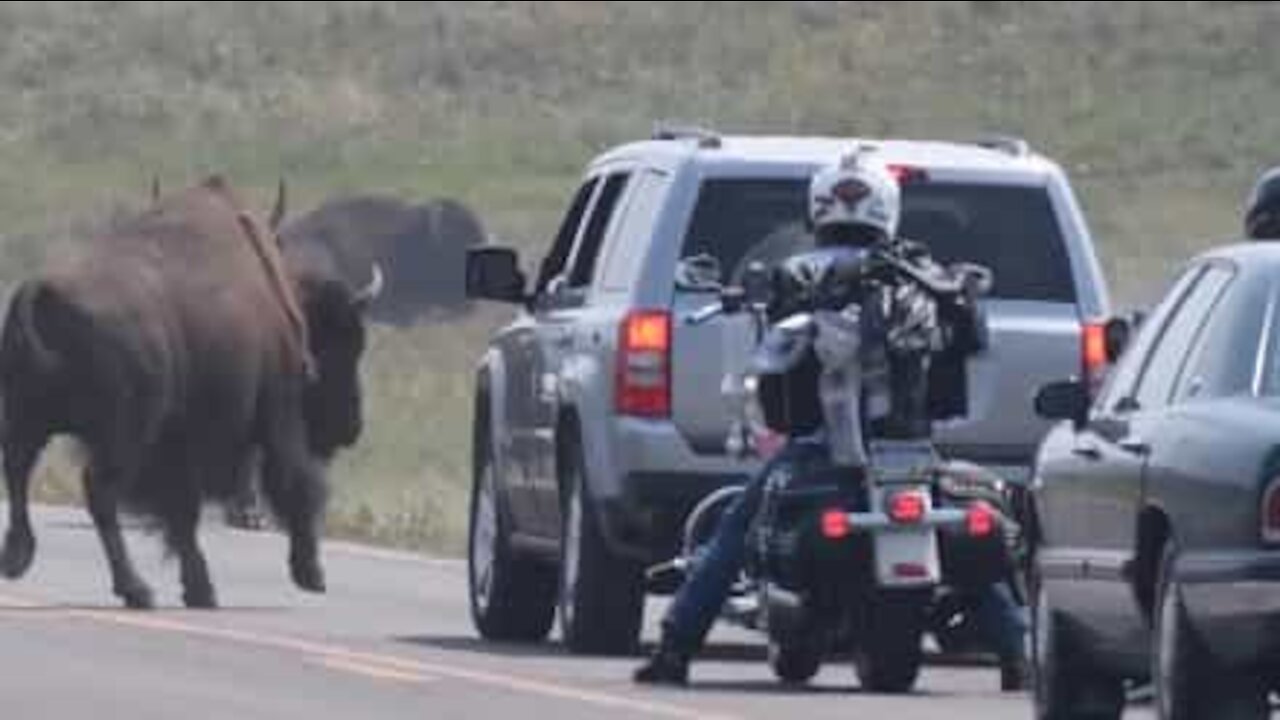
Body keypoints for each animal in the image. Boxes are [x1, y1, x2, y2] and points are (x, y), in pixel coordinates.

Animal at [0, 174, 378, 604]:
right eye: (343, 345)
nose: (351, 427)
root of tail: (44, 291)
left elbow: (182, 515)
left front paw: (199, 588)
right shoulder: (275, 417)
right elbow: (295, 486)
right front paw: (310, 574)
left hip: (29, 419)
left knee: (18, 470)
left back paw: (18, 557)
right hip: (123, 436)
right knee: (98, 491)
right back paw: (136, 589)